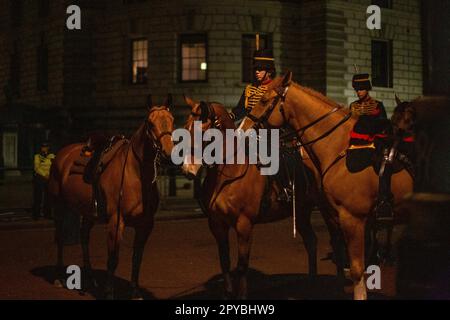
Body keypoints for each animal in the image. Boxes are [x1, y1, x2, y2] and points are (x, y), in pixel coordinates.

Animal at [47, 98, 174, 300]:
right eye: (150, 123)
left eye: (171, 120)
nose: (168, 155)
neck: (136, 175)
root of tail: (61, 154)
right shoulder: (116, 222)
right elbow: (113, 259)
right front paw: (108, 293)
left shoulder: (145, 225)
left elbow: (137, 258)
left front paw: (134, 292)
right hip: (59, 206)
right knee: (60, 237)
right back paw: (59, 277)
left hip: (88, 213)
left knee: (84, 237)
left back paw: (90, 279)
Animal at [179, 96, 342, 298]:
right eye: (185, 127)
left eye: (202, 131)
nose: (187, 169)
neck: (229, 172)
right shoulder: (217, 224)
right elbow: (224, 261)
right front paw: (228, 293)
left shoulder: (244, 225)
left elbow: (242, 265)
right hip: (302, 212)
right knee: (311, 241)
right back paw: (311, 283)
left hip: (328, 210)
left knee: (336, 241)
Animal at [239, 71, 414, 298]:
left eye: (263, 100)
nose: (241, 130)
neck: (339, 147)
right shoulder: (338, 216)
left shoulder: (353, 218)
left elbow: (357, 269)